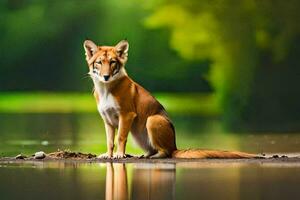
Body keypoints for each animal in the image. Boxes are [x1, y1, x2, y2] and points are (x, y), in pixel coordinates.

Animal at [83, 38, 258, 158]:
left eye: (113, 62)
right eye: (99, 62)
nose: (105, 76)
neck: (106, 89)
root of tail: (175, 146)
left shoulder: (126, 115)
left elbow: (120, 137)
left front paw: (119, 155)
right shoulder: (108, 120)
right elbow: (109, 141)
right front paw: (108, 155)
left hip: (152, 120)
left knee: (165, 151)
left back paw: (155, 156)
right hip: (138, 133)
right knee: (153, 149)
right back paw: (143, 155)